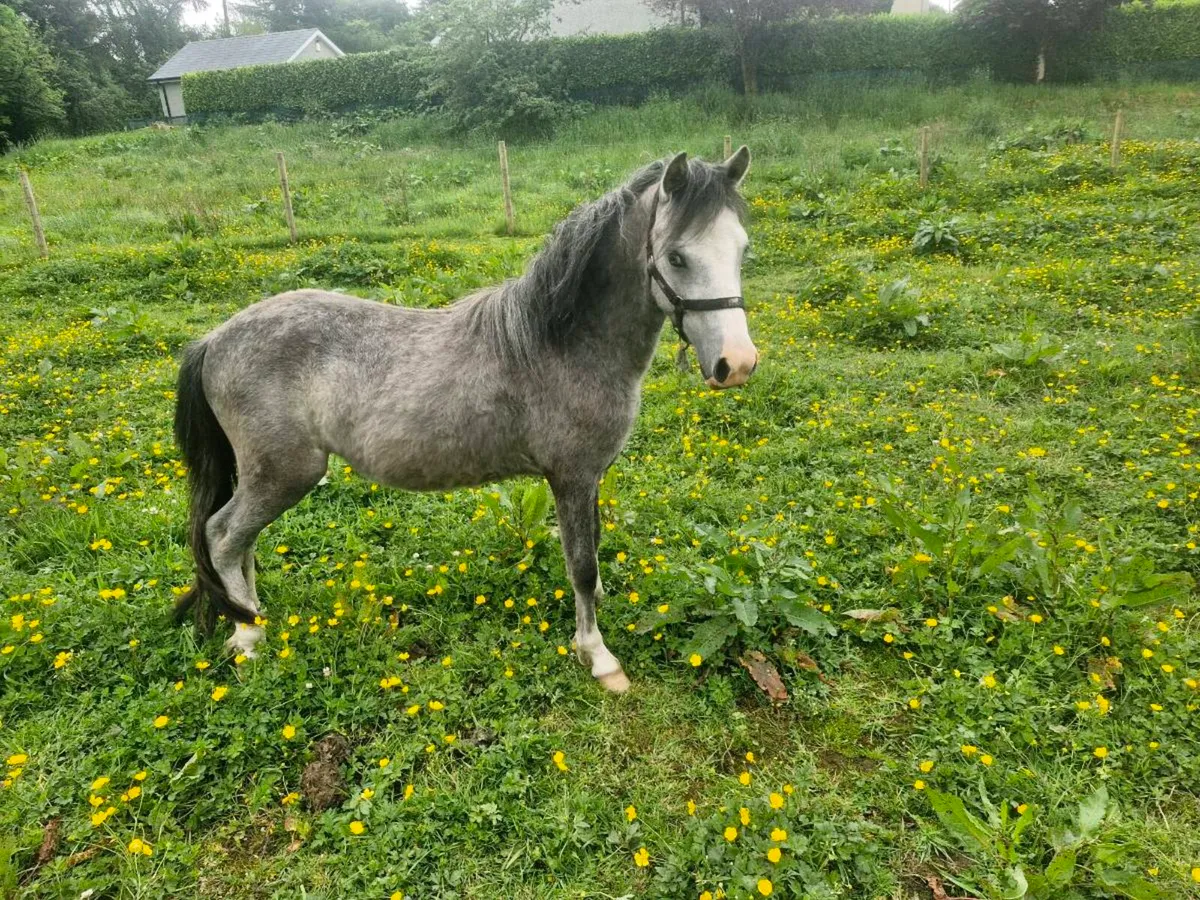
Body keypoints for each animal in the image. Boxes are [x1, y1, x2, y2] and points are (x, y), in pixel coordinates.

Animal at [172, 148, 757, 692]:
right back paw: (248, 635)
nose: (737, 364)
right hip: (284, 474)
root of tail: (213, 340)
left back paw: (252, 616)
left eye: (742, 249)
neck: (560, 342)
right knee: (223, 536)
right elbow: (582, 565)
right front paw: (597, 655)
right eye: (677, 257)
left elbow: (590, 550)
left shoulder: (589, 477)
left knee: (242, 542)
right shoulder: (570, 476)